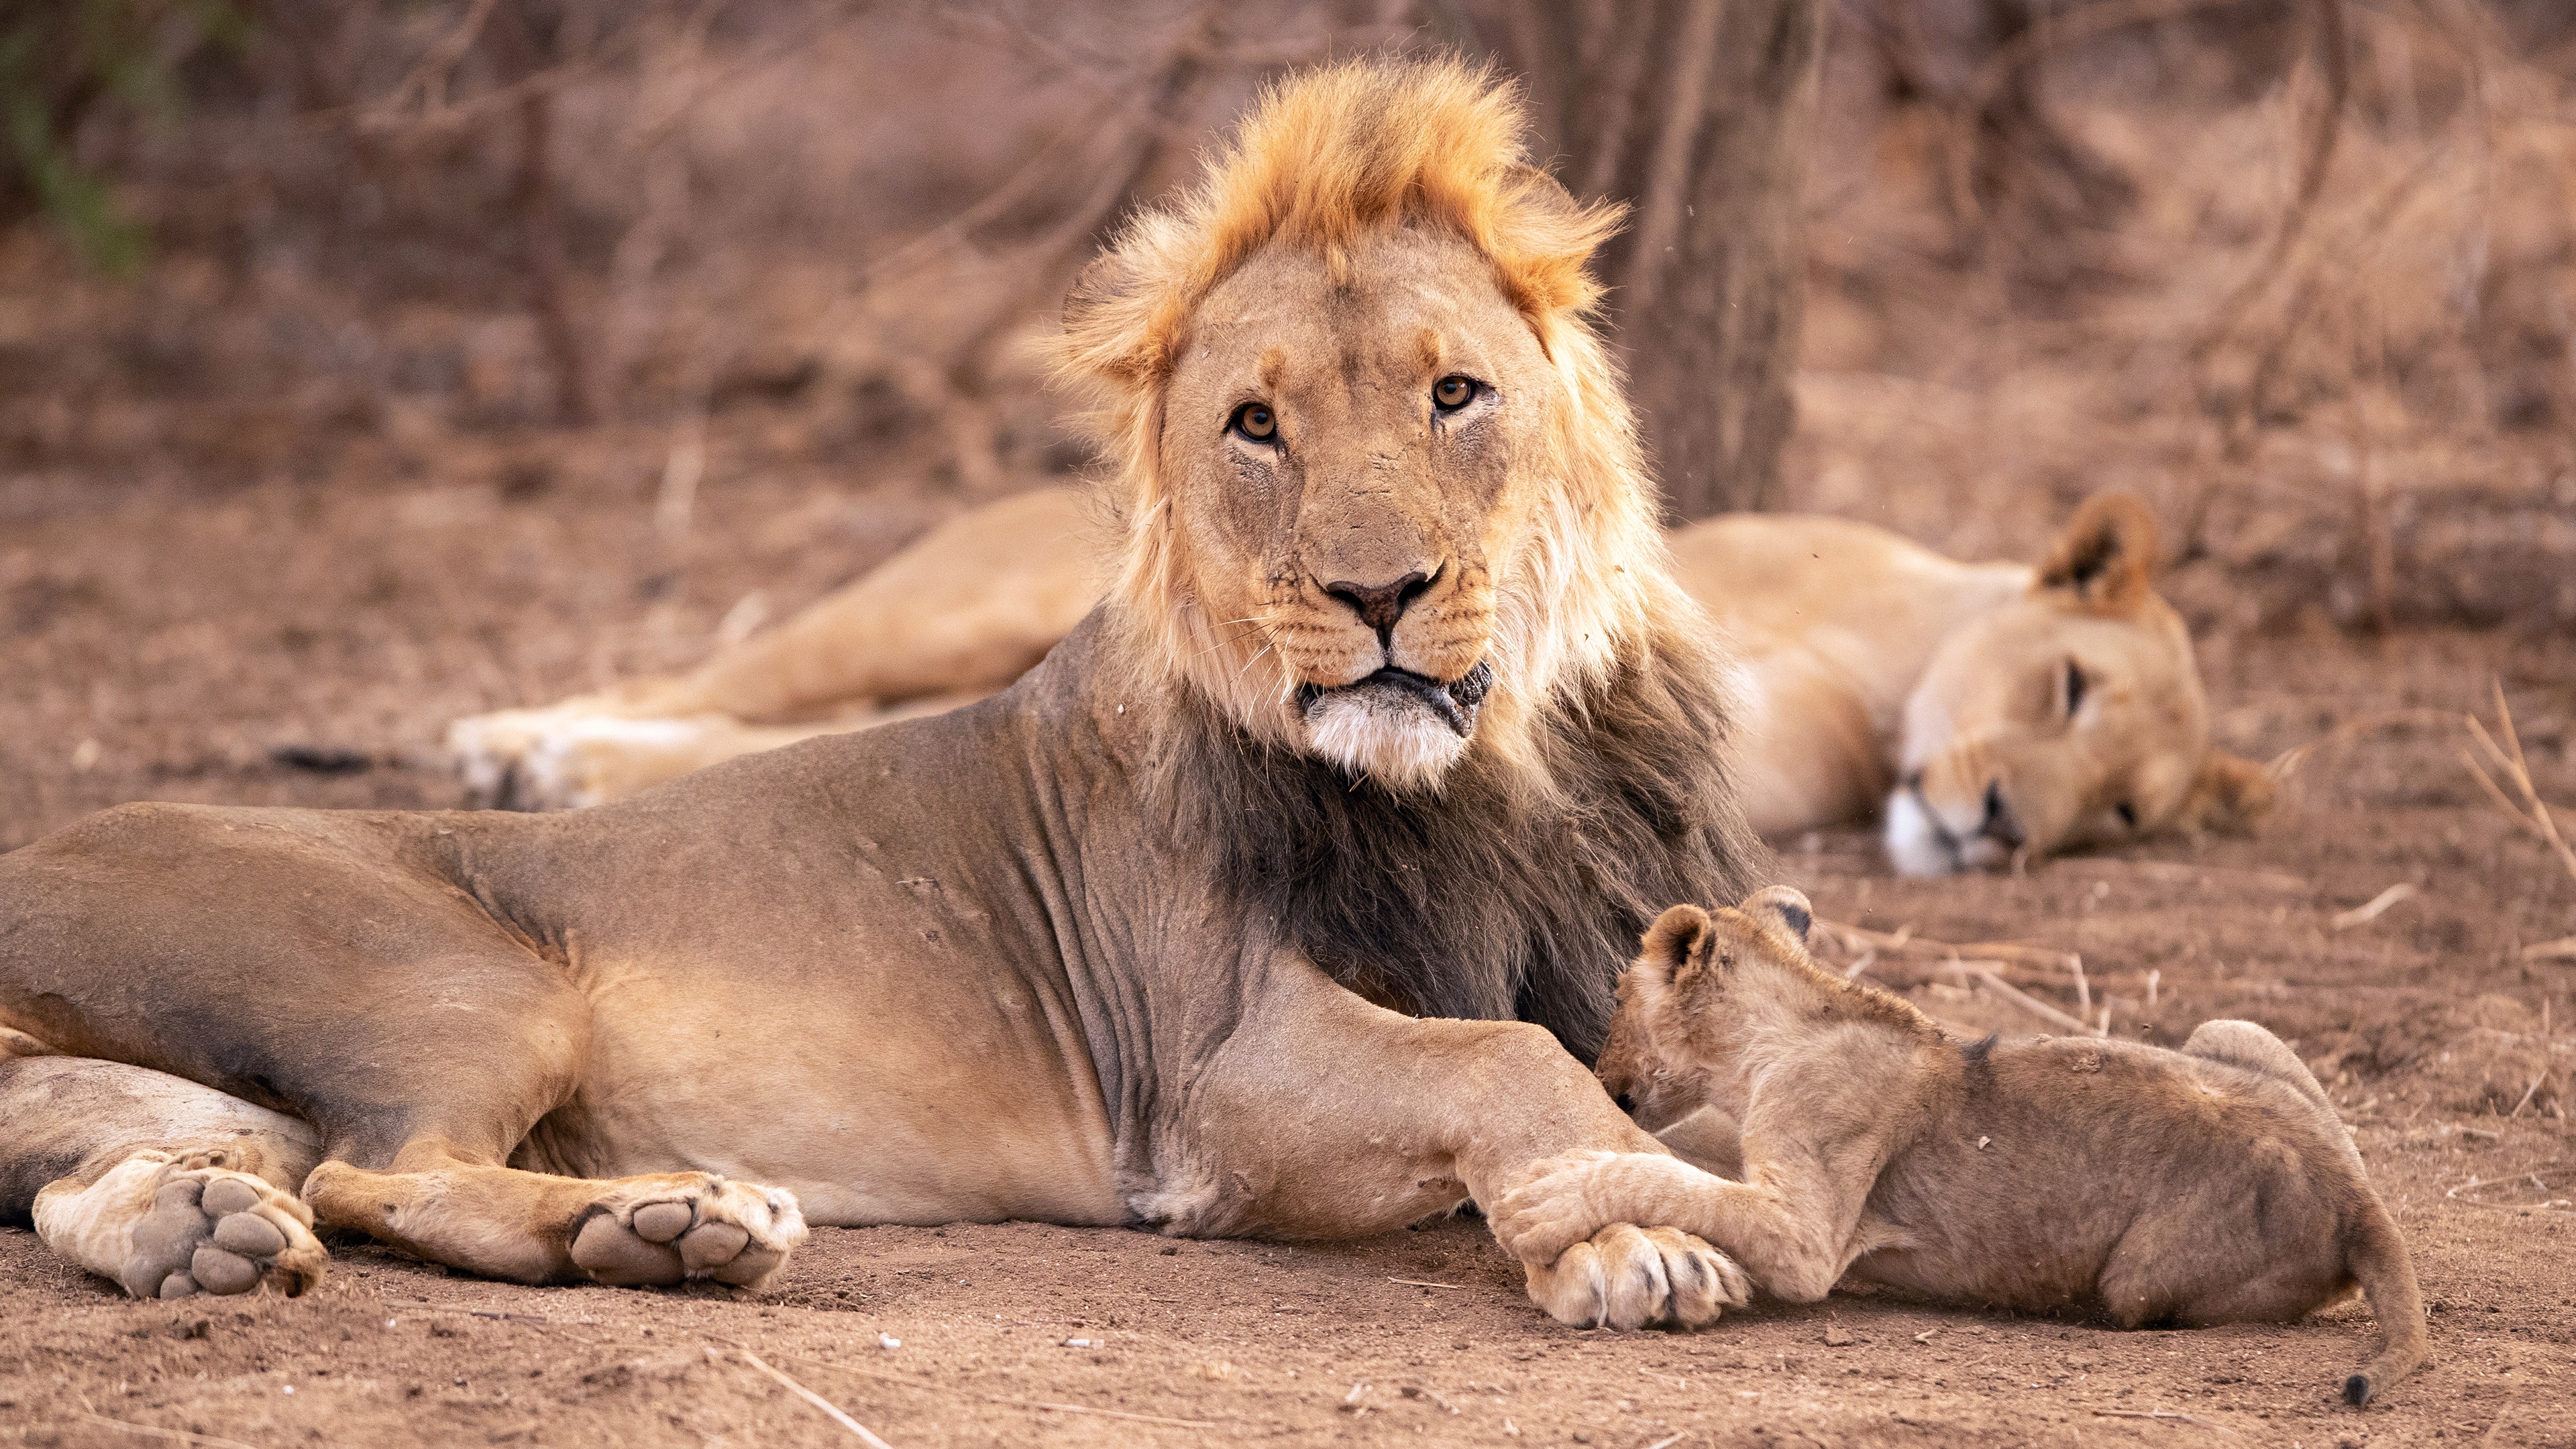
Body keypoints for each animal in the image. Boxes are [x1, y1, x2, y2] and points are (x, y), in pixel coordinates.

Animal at [0, 62, 1762, 1330]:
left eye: (1455, 393)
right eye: (1255, 426)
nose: (1375, 595)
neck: (1494, 779)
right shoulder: (1203, 1089)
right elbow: (1502, 1057)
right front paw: (1633, 1232)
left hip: (194, 1095)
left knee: (135, 1176)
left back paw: (225, 1232)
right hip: (464, 982)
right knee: (384, 1176)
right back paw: (678, 1219)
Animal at [1494, 881, 2431, 1402]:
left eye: (1619, 994)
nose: (1594, 1064)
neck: (1779, 1035)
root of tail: (2360, 1196)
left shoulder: (1806, 1239)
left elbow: (1671, 1178)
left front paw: (1548, 1199)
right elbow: (1679, 1160)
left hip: (2137, 1278)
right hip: (2229, 1029)